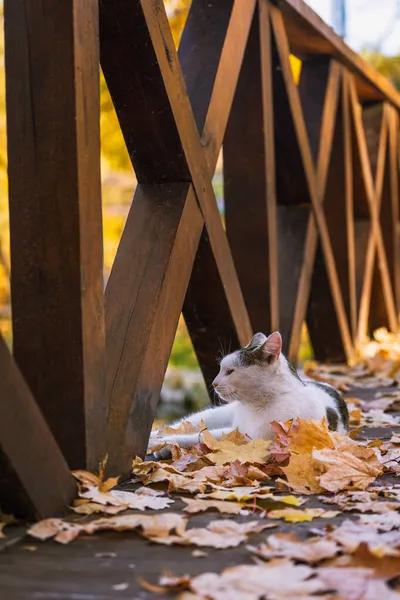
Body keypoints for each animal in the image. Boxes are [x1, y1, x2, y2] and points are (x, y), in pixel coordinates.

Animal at [148, 330, 348, 458]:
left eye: (230, 371)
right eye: (221, 369)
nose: (214, 383)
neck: (258, 405)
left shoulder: (248, 438)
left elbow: (201, 437)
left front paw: (164, 445)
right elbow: (198, 434)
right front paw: (160, 442)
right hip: (216, 414)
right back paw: (154, 434)